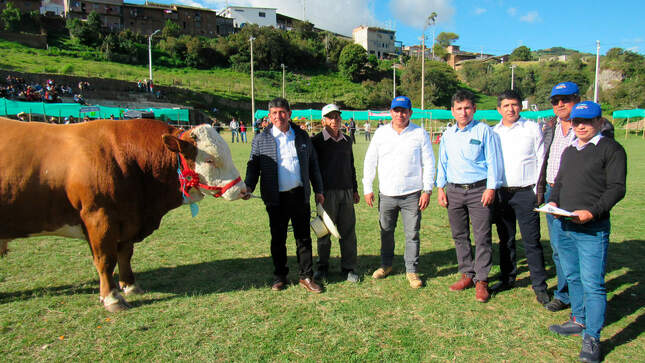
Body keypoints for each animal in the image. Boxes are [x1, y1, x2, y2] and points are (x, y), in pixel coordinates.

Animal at [0, 118, 247, 312]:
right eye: (209, 159)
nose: (242, 190)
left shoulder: (128, 220)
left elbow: (125, 254)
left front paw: (130, 285)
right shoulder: (99, 218)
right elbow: (105, 260)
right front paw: (112, 298)